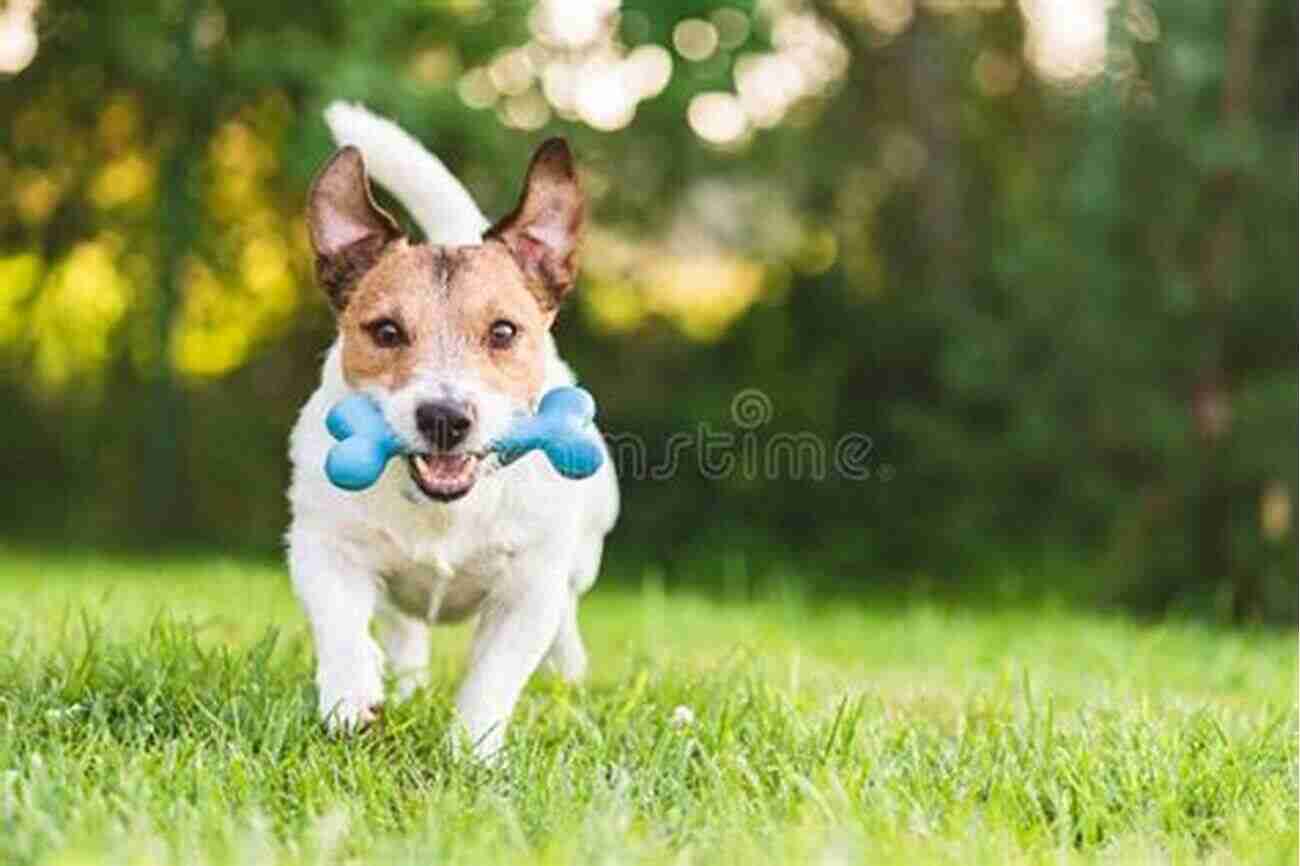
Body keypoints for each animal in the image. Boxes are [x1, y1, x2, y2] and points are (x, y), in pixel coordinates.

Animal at [288, 102, 618, 754]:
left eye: (504, 331)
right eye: (386, 332)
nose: (444, 418)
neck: (444, 508)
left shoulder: (528, 588)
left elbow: (495, 674)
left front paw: (473, 750)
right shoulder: (321, 545)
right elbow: (340, 622)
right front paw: (351, 695)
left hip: (583, 553)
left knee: (567, 618)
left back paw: (569, 678)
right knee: (403, 630)